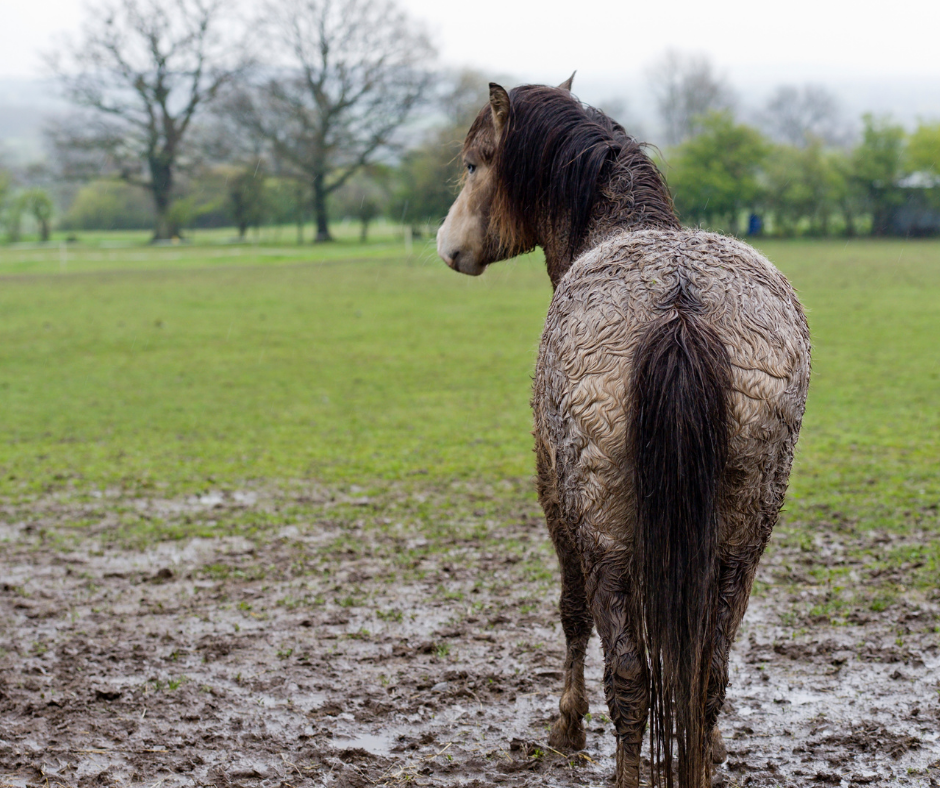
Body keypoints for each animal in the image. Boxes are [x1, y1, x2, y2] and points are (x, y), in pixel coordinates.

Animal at [436, 75, 812, 788]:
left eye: (473, 163)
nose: (447, 244)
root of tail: (680, 306)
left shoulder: (555, 493)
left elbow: (572, 611)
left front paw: (567, 724)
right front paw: (714, 746)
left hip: (604, 529)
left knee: (631, 673)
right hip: (739, 540)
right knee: (707, 671)